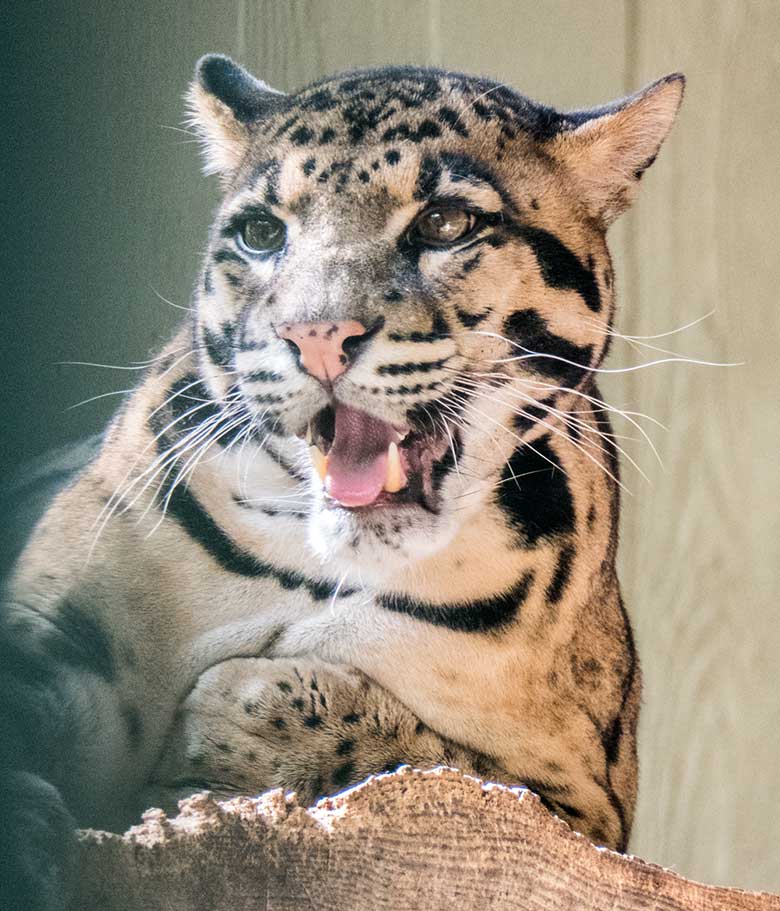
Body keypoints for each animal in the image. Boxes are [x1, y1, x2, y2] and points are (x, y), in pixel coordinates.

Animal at [0, 53, 684, 908]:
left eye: (446, 223)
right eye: (262, 233)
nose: (317, 335)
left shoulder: (586, 809)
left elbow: (448, 768)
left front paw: (240, 718)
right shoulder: (59, 625)